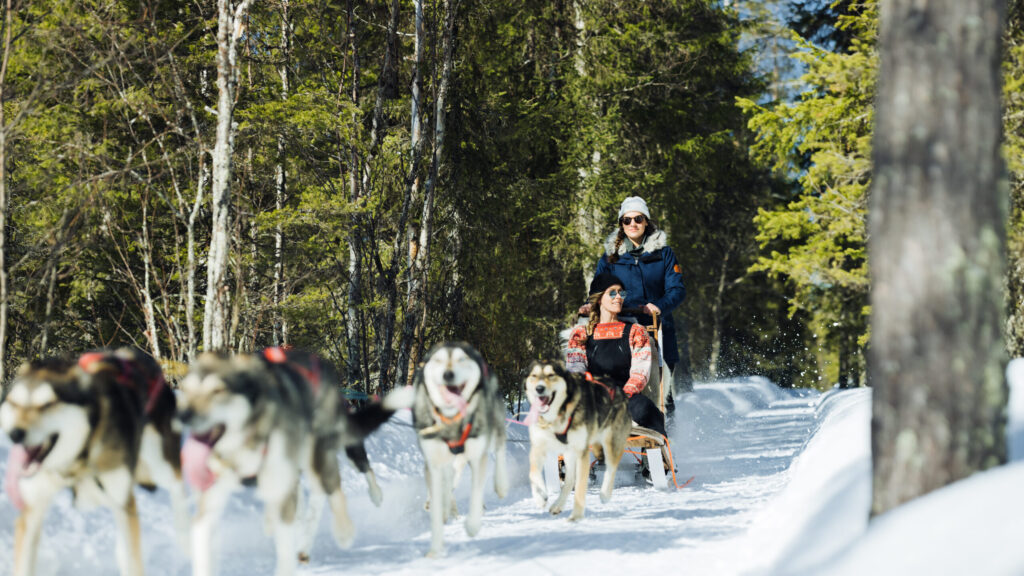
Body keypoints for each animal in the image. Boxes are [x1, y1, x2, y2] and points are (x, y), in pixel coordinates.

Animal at [0, 348, 187, 573]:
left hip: (161, 464)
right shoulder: (31, 511)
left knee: (178, 488)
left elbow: (131, 559)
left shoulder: (123, 503)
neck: (76, 461)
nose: (14, 434)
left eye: (48, 404)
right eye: (14, 403)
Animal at [176, 344, 399, 573]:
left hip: (327, 453)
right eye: (185, 390)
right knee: (316, 496)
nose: (183, 415)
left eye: (218, 390)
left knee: (344, 481)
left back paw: (355, 516)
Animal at [403, 340, 507, 557]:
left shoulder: (475, 457)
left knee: (500, 445)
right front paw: (435, 547)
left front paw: (471, 523)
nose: (448, 375)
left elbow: (474, 493)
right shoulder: (434, 464)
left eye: (461, 359)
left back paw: (501, 484)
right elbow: (438, 498)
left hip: (492, 427)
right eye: (438, 360)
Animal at [528, 356, 630, 518]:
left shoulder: (581, 450)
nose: (539, 389)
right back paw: (558, 504)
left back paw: (605, 494)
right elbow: (533, 473)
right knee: (570, 480)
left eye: (551, 375)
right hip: (570, 453)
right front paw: (540, 497)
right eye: (534, 376)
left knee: (612, 466)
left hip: (610, 441)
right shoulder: (539, 446)